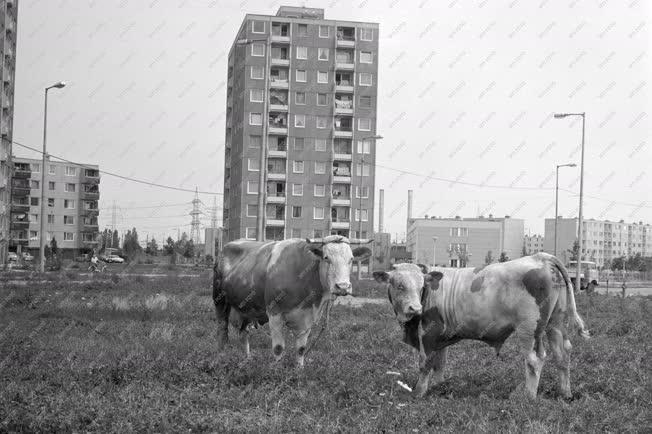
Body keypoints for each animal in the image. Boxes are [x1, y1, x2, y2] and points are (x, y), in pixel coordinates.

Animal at [213, 234, 370, 366]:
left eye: (351, 259)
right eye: (326, 257)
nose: (343, 286)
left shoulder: (307, 317)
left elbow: (301, 349)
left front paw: (299, 370)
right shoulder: (275, 314)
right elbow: (278, 348)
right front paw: (276, 370)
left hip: (246, 307)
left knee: (243, 333)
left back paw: (247, 360)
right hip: (220, 301)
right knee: (222, 331)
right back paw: (220, 358)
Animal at [372, 254, 592, 400]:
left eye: (420, 287)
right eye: (399, 285)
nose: (415, 308)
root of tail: (541, 257)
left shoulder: (428, 333)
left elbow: (425, 363)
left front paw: (419, 392)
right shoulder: (440, 337)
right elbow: (440, 363)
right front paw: (439, 387)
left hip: (530, 329)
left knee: (534, 360)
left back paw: (528, 397)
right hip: (555, 323)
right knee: (562, 354)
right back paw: (565, 393)